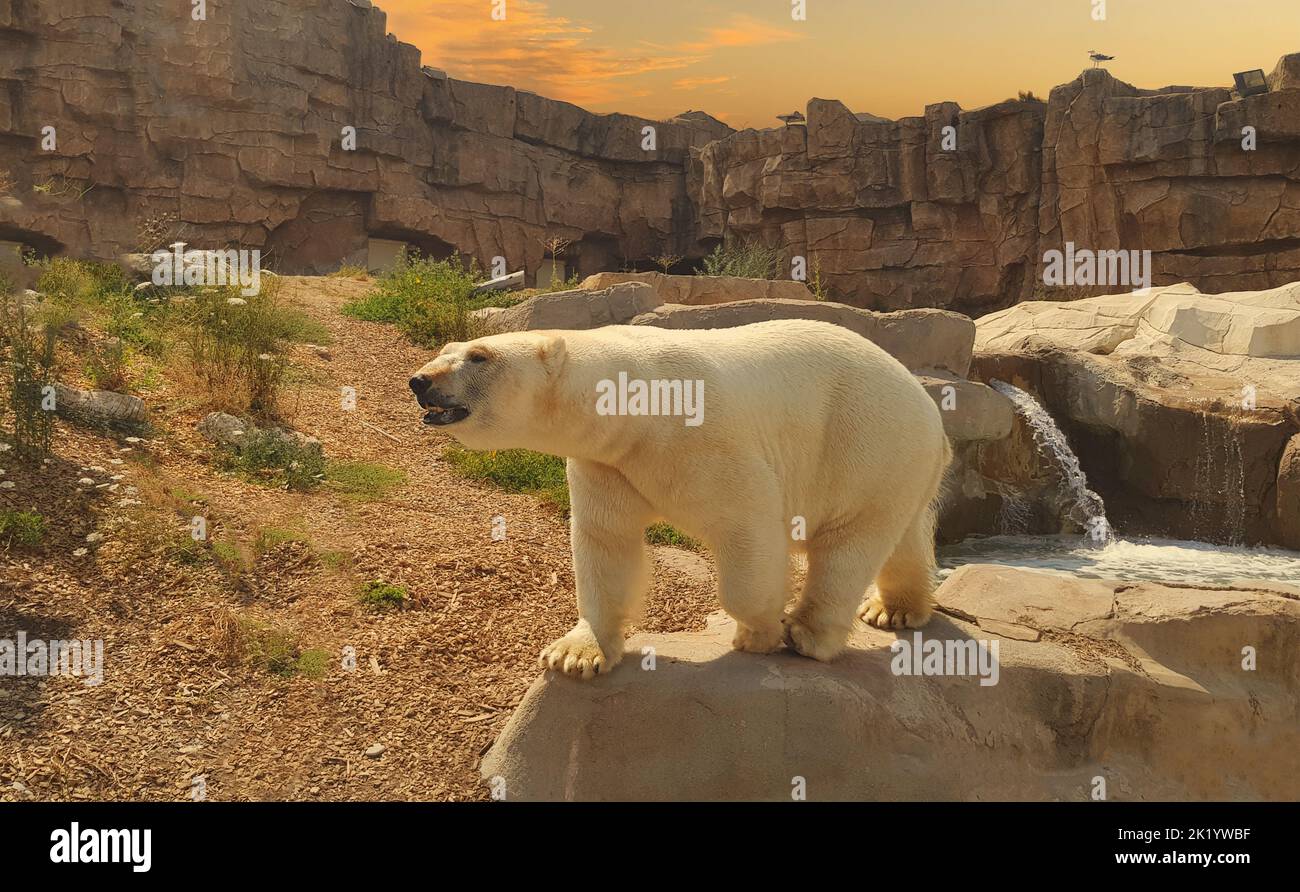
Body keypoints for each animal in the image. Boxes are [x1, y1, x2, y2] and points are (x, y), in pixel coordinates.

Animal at [408, 319, 952, 680]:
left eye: (480, 356)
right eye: (446, 347)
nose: (420, 380)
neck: (633, 403)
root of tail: (928, 404)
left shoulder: (701, 439)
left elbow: (748, 526)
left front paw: (760, 632)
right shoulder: (609, 462)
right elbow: (605, 543)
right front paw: (576, 653)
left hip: (864, 440)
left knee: (849, 542)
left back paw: (809, 634)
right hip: (896, 463)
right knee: (902, 534)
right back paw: (894, 611)